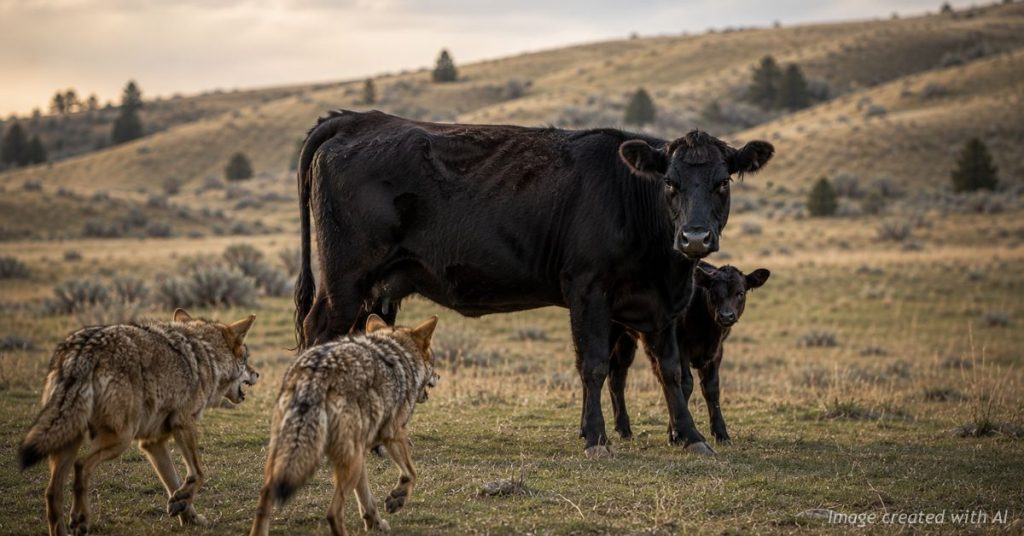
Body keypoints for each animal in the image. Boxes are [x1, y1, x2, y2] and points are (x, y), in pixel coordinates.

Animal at [608, 263, 771, 445]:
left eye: (740, 293)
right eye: (713, 292)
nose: (726, 316)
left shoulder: (717, 351)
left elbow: (711, 387)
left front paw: (721, 434)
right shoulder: (681, 346)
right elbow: (685, 383)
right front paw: (675, 434)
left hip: (626, 340)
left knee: (617, 377)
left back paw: (624, 430)